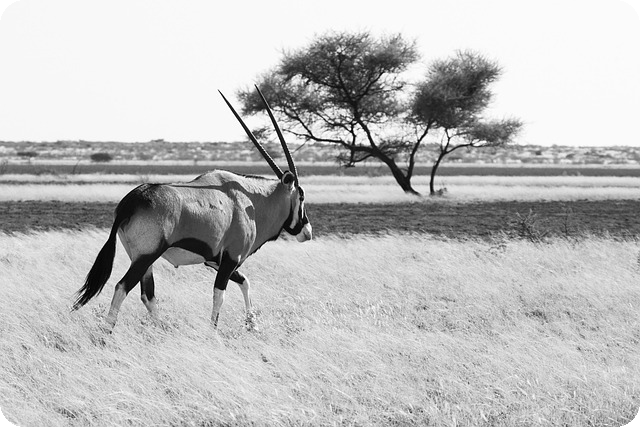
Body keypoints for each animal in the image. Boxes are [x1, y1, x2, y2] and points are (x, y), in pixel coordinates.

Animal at [72, 86, 312, 330]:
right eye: (301, 195)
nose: (307, 231)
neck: (251, 201)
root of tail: (131, 202)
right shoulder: (230, 259)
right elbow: (220, 294)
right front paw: (214, 330)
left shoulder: (214, 261)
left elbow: (245, 282)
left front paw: (252, 324)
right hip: (145, 257)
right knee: (122, 287)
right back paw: (108, 331)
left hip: (142, 259)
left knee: (148, 295)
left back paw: (162, 329)